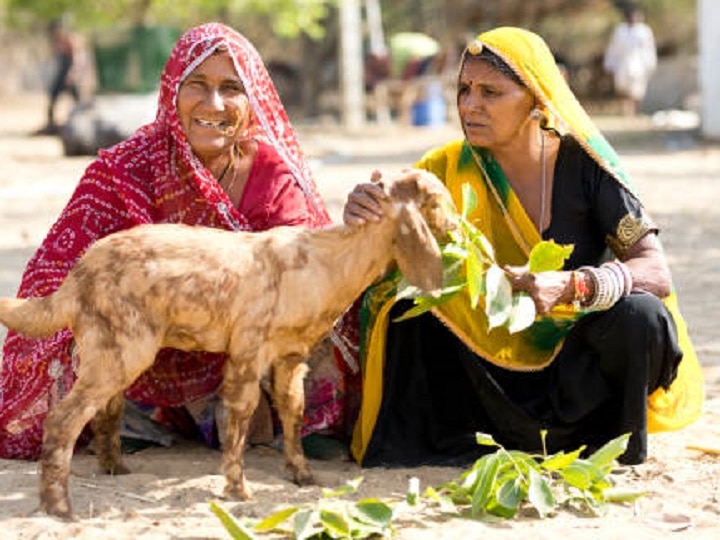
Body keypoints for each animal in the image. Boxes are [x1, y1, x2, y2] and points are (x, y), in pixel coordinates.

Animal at [0, 168, 458, 520]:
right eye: (437, 201)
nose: (456, 226)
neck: (326, 262)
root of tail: (75, 279)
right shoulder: (248, 348)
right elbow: (239, 413)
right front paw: (238, 489)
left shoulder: (291, 356)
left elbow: (293, 410)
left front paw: (303, 476)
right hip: (121, 349)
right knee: (62, 419)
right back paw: (59, 508)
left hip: (110, 350)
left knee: (104, 411)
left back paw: (115, 469)